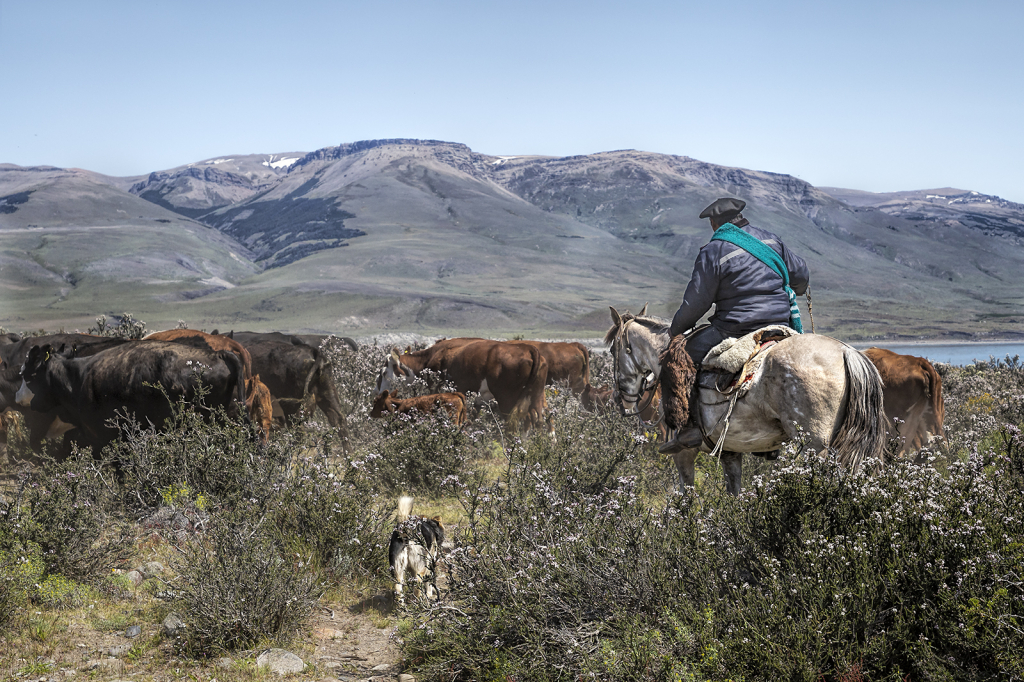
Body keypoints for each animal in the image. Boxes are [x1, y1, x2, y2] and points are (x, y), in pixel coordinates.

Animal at [606, 305, 888, 491]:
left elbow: (687, 497)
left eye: (611, 350)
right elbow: (734, 494)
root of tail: (847, 351)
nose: (623, 401)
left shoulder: (683, 453)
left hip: (814, 446)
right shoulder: (730, 452)